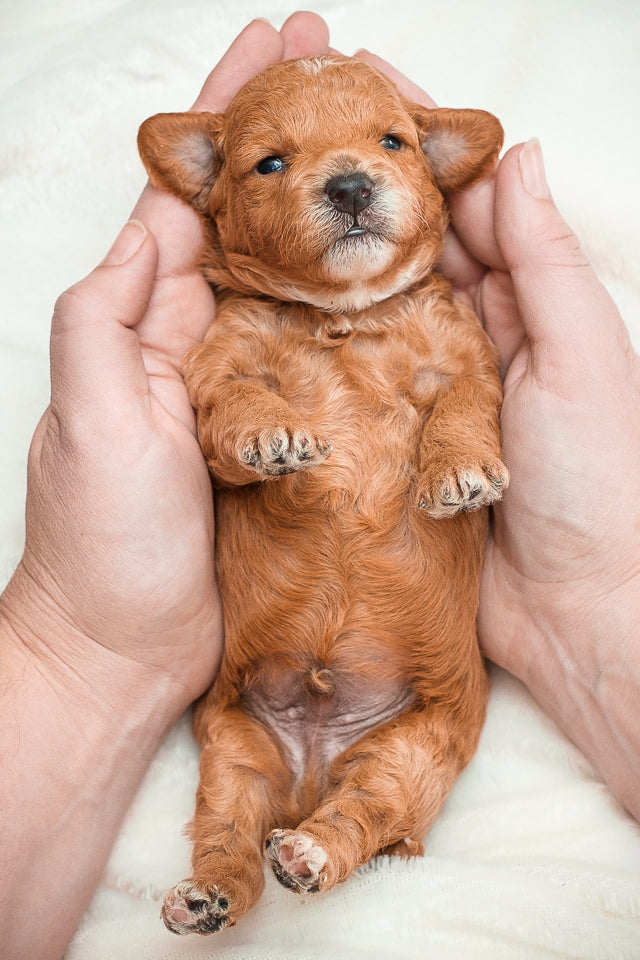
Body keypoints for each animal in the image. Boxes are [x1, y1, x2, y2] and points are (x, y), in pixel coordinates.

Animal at [140, 56, 510, 932]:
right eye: (270, 162)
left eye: (393, 141)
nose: (348, 184)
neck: (344, 315)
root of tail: (310, 775)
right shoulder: (218, 370)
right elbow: (239, 405)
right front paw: (274, 436)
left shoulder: (467, 359)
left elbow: (464, 408)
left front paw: (457, 475)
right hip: (236, 754)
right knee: (231, 843)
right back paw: (207, 894)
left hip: (409, 754)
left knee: (362, 816)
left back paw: (310, 850)